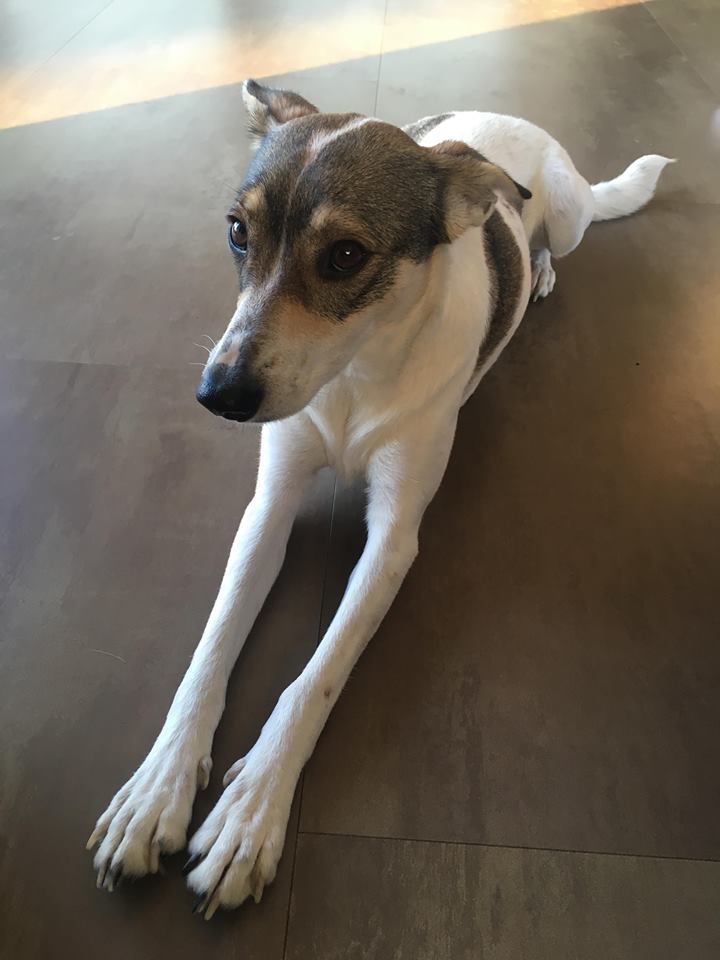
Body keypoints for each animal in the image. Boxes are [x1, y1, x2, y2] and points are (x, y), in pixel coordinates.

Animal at [87, 79, 672, 916]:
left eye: (345, 256)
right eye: (238, 233)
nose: (219, 395)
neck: (353, 377)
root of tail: (511, 124)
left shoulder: (393, 540)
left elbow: (315, 679)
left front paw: (252, 812)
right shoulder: (266, 510)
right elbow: (210, 651)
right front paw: (157, 787)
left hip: (567, 211)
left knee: (560, 234)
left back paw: (542, 270)